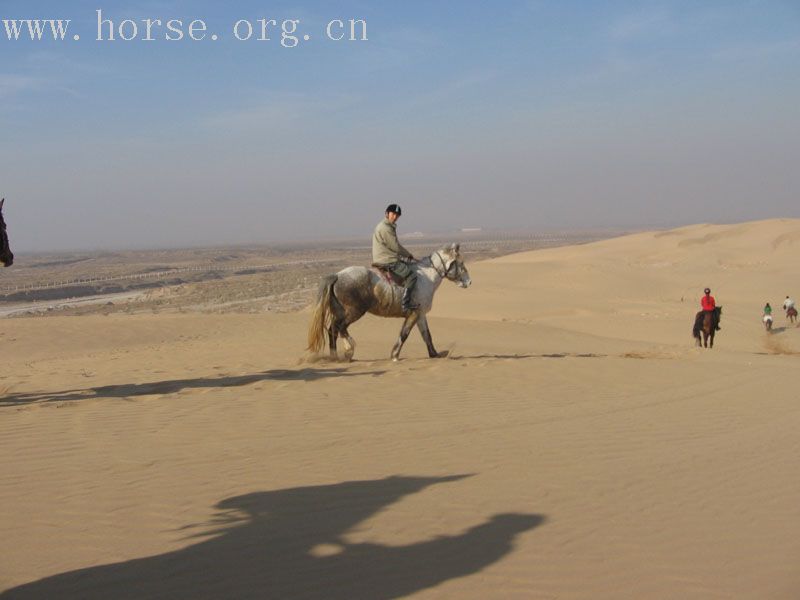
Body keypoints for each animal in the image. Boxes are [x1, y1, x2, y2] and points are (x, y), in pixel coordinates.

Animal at [304, 244, 468, 360]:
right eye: (461, 263)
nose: (469, 282)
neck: (426, 277)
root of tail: (337, 275)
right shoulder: (414, 314)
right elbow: (404, 334)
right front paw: (394, 355)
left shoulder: (421, 315)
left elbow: (427, 335)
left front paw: (434, 354)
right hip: (354, 312)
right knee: (340, 328)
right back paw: (349, 350)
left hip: (340, 312)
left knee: (333, 330)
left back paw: (335, 357)